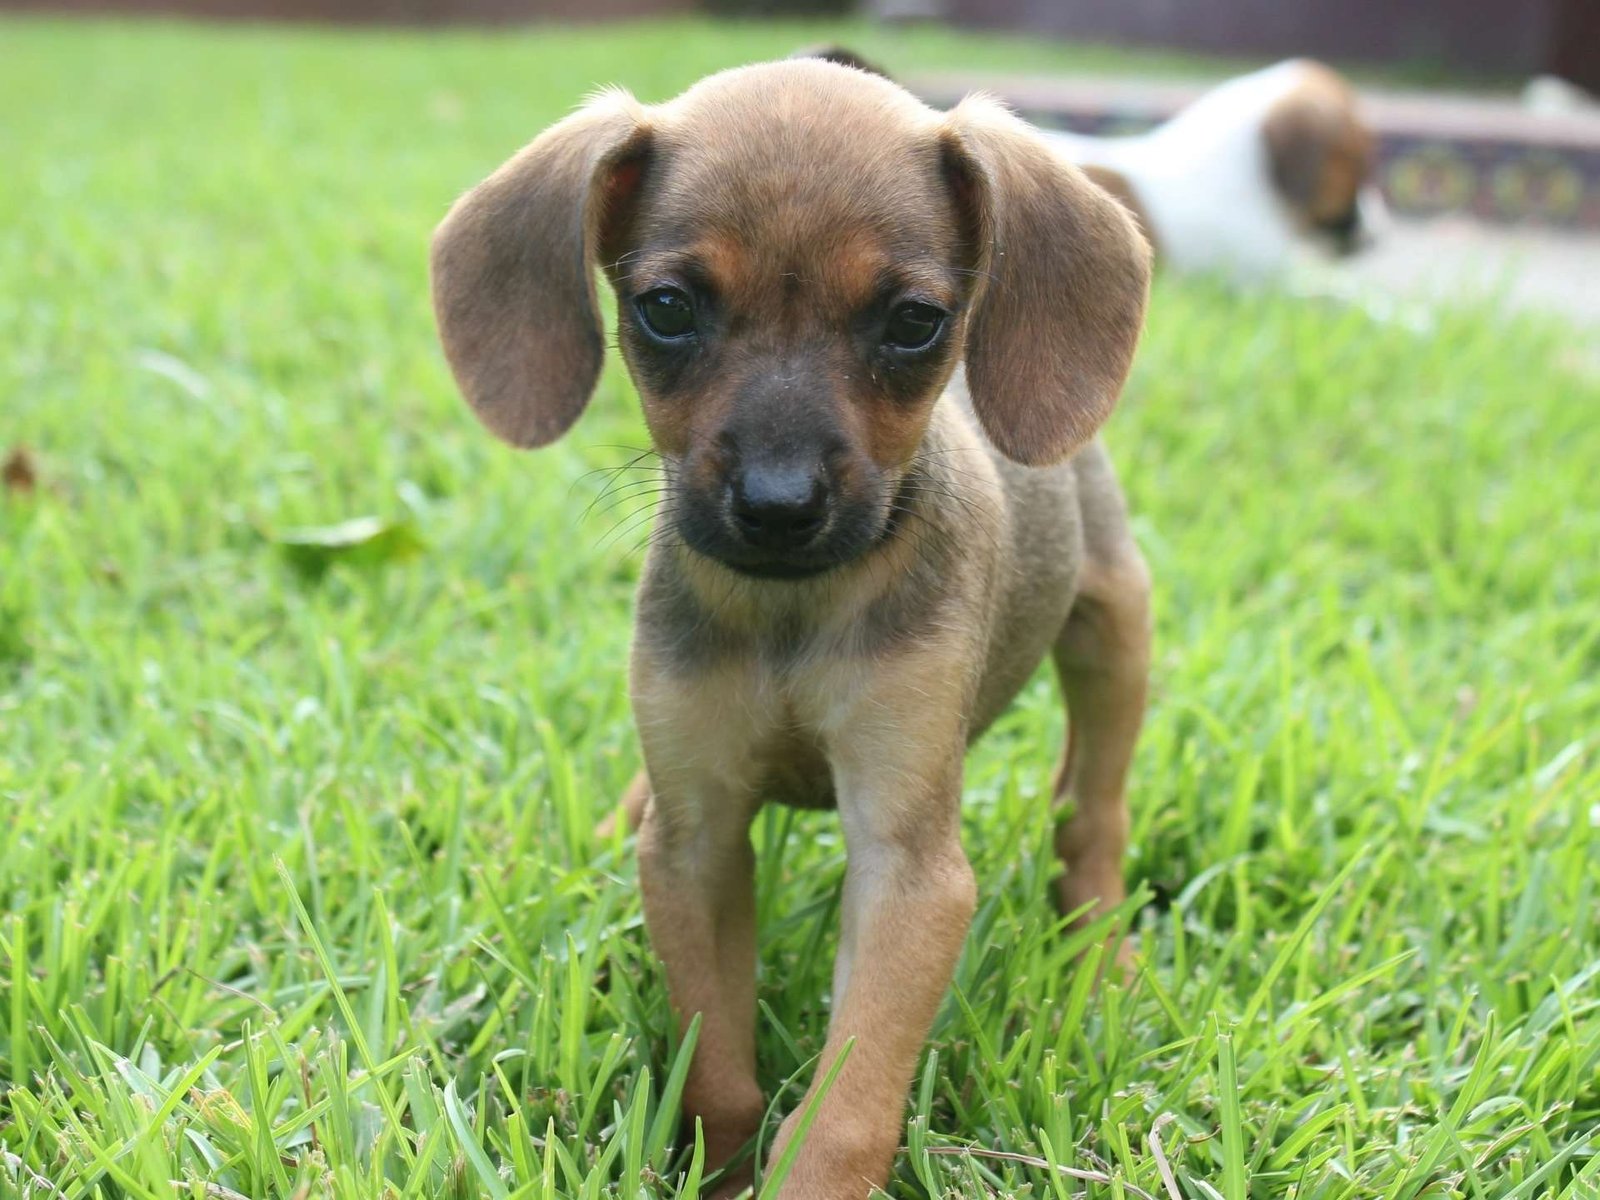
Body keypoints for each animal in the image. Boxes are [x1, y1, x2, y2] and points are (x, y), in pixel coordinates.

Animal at [428, 58, 1152, 1200]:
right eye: (666, 308)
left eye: (914, 322)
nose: (776, 505)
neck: (787, 614)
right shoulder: (696, 841)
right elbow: (715, 1068)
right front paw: (718, 1172)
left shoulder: (907, 867)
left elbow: (846, 1110)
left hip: (1114, 631)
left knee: (1093, 814)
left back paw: (1102, 953)